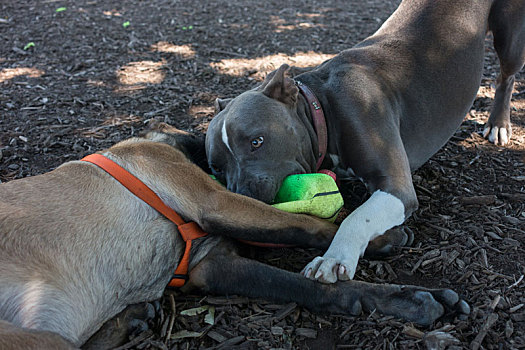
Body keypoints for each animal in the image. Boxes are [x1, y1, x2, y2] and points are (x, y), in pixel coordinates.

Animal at [0, 122, 466, 348]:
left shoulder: (211, 265)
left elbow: (306, 284)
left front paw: (400, 297)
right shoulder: (217, 202)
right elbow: (312, 225)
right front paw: (385, 248)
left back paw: (131, 317)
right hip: (39, 338)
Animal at [206, 0, 524, 284]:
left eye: (257, 141)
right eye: (217, 167)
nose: (241, 195)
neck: (323, 107)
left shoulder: (396, 187)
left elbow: (357, 217)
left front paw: (333, 259)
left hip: (510, 38)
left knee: (506, 77)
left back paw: (498, 124)